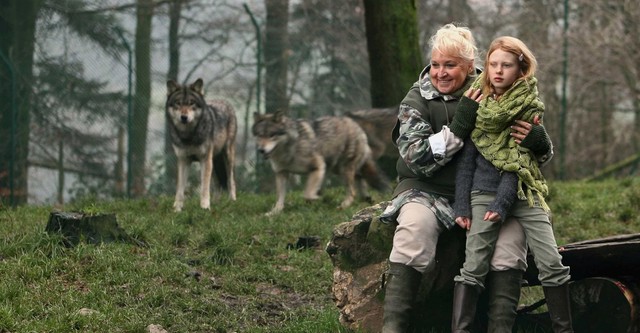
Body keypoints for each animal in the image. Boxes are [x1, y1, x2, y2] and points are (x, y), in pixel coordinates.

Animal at [165, 78, 238, 210]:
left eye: (191, 103)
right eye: (178, 103)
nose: (184, 117)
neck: (188, 135)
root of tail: (224, 101)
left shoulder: (205, 160)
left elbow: (204, 186)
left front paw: (204, 207)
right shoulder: (183, 160)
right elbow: (180, 189)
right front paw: (177, 208)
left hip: (227, 157)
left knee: (231, 180)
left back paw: (232, 201)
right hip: (214, 162)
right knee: (217, 184)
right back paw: (216, 202)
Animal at [252, 111, 388, 215]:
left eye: (272, 135)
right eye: (259, 135)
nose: (261, 150)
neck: (290, 148)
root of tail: (355, 124)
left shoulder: (318, 166)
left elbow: (307, 194)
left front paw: (317, 198)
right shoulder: (281, 173)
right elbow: (280, 198)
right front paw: (274, 212)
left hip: (344, 169)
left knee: (352, 190)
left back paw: (343, 206)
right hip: (338, 169)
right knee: (360, 178)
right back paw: (366, 197)